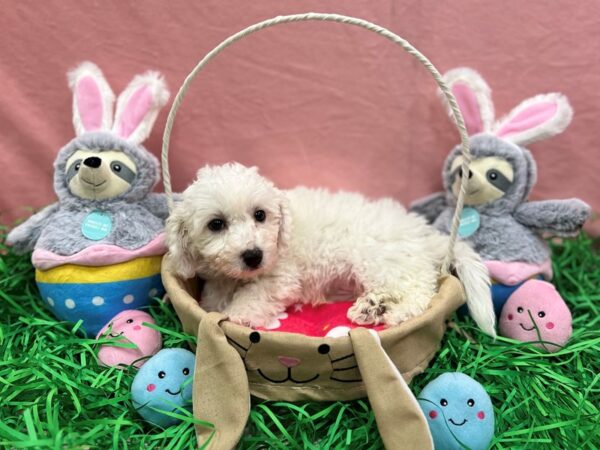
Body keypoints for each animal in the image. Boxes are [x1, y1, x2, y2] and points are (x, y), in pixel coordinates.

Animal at [165, 162, 496, 334]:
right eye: (216, 224)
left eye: (260, 215)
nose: (253, 256)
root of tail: (424, 234)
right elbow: (213, 296)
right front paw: (217, 303)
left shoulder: (282, 276)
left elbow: (255, 295)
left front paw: (239, 316)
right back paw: (374, 307)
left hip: (378, 259)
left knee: (419, 293)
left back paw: (383, 311)